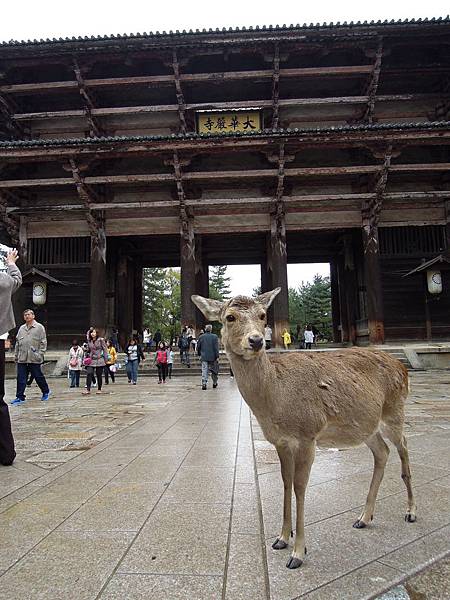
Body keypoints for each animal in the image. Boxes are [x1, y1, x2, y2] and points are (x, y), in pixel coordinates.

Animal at [192, 288, 416, 568]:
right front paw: (280, 539)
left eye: (263, 315)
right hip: (367, 425)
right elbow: (286, 482)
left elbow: (300, 486)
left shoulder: (308, 433)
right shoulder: (280, 440)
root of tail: (403, 368)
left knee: (404, 446)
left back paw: (410, 512)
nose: (256, 340)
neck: (275, 400)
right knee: (382, 452)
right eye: (230, 317)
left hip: (394, 410)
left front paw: (298, 552)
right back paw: (363, 518)